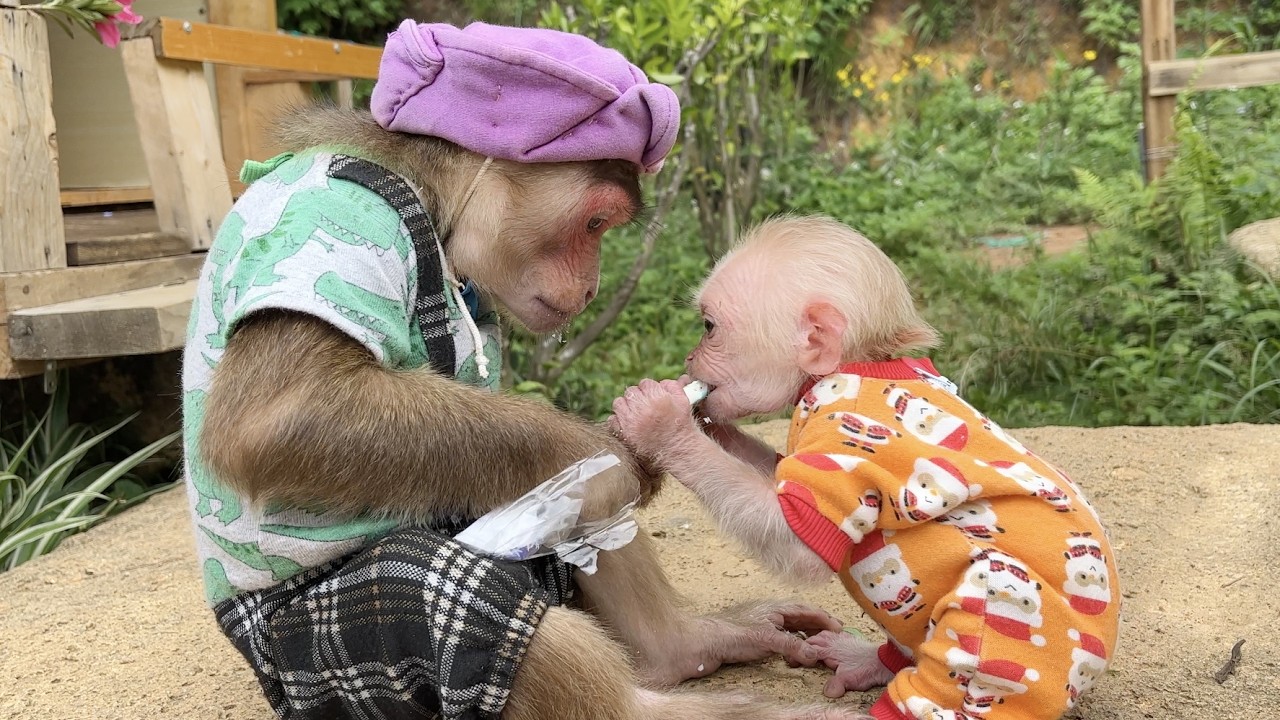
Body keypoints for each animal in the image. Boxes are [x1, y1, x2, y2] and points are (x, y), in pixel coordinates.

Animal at [183, 20, 868, 720]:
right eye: (594, 222)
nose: (592, 288)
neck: (432, 209)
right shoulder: (344, 216)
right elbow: (283, 413)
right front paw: (606, 451)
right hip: (313, 659)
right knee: (439, 588)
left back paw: (683, 644)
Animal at [609, 215, 1121, 720]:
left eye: (709, 327)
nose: (688, 360)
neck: (858, 363)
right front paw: (710, 425)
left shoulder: (844, 432)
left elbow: (795, 535)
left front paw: (660, 418)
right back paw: (866, 661)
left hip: (1017, 620)